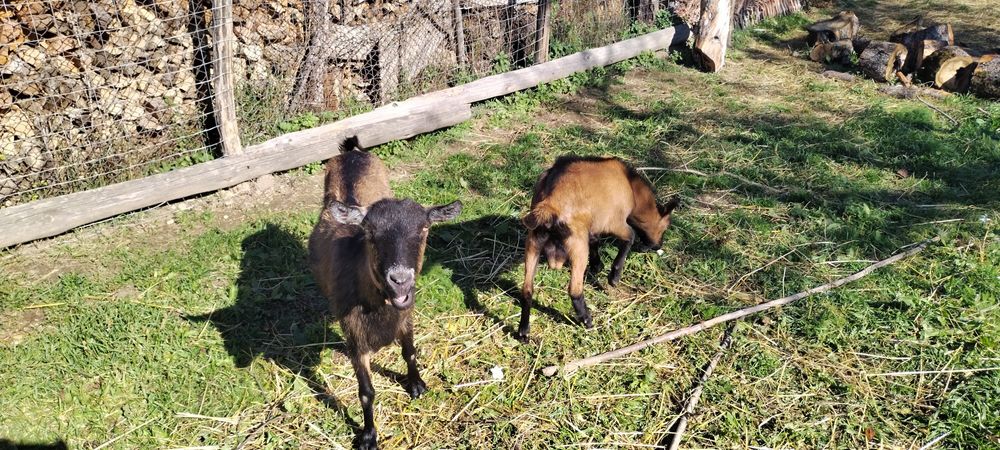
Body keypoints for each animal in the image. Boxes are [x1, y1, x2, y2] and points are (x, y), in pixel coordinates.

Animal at [308, 137, 462, 450]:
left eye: (425, 228)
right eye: (370, 232)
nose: (400, 280)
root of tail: (351, 152)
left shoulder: (407, 316)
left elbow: (410, 352)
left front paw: (416, 385)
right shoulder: (354, 336)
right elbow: (366, 391)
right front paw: (368, 435)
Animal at [519, 155, 679, 339]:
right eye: (665, 227)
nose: (658, 245)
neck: (630, 185)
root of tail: (549, 206)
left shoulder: (595, 225)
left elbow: (595, 241)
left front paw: (597, 266)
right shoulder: (615, 223)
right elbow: (630, 237)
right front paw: (613, 277)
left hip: (533, 243)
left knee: (527, 289)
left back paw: (523, 331)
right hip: (577, 246)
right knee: (574, 289)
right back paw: (587, 321)